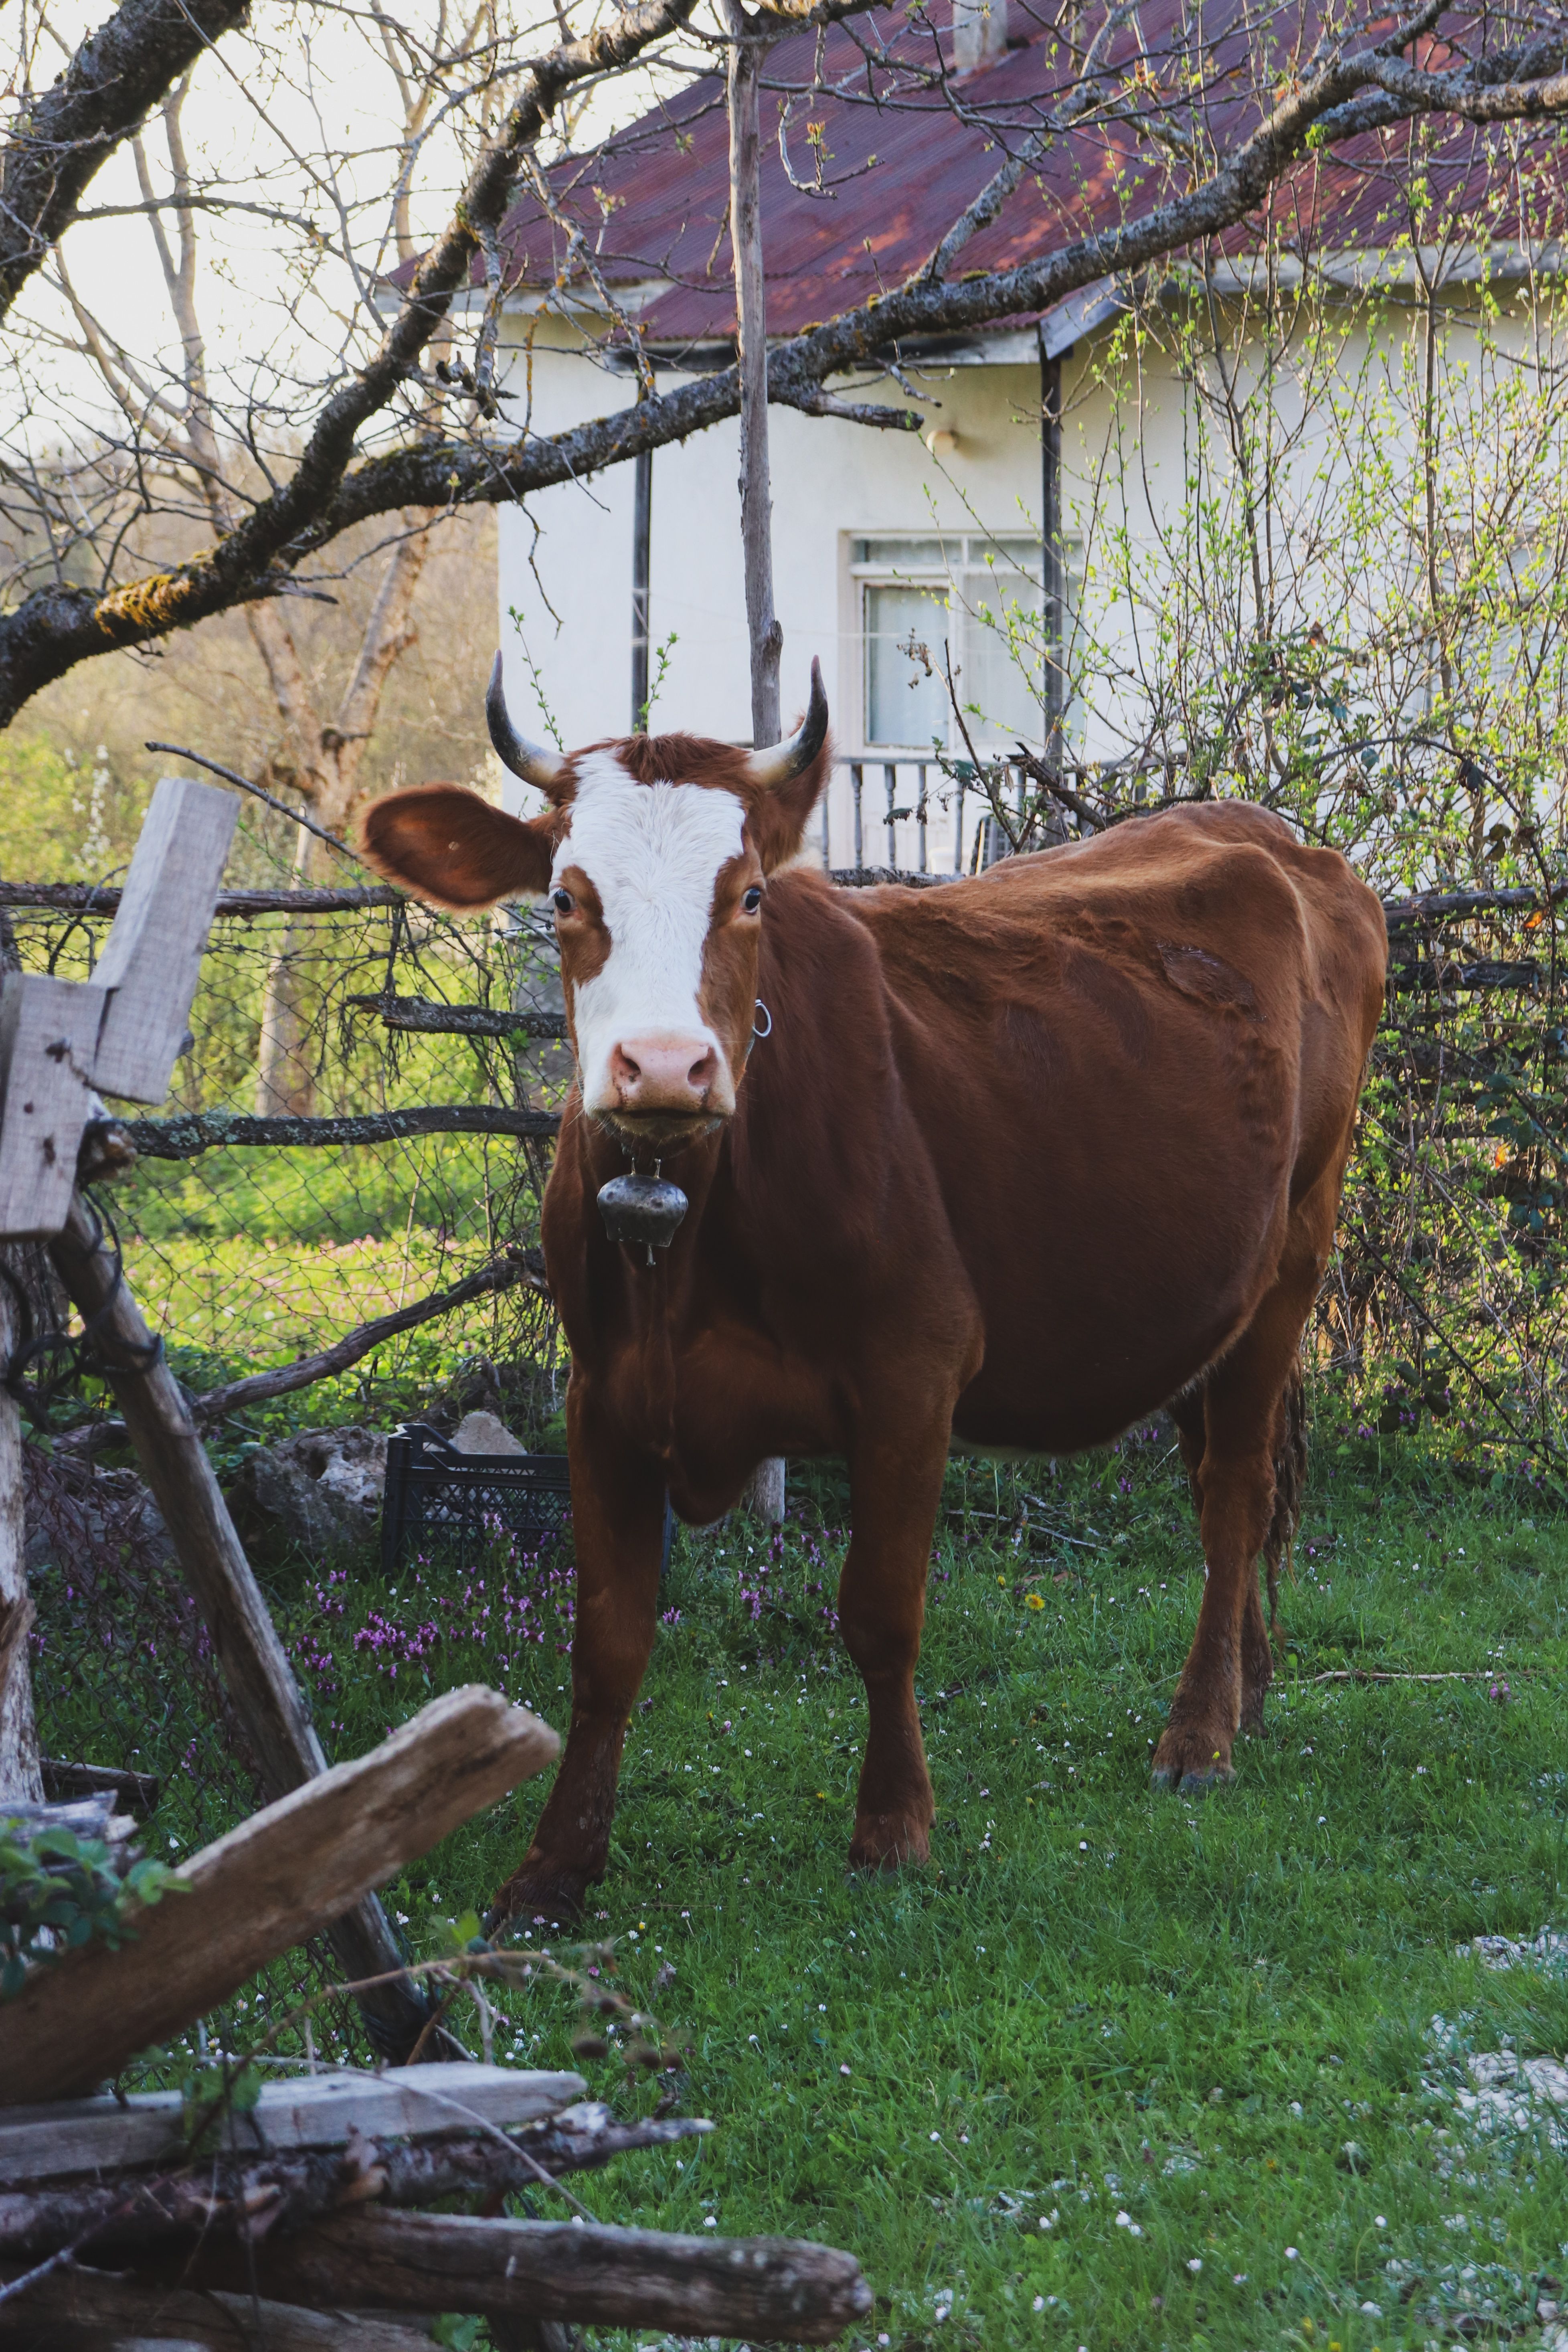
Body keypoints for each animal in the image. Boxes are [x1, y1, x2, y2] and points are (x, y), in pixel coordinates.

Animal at [362, 658, 1388, 1926]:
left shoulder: (910, 1375)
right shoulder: (600, 1396)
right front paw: (554, 1867)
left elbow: (880, 1612)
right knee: (1215, 1482)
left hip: (1293, 1251)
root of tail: (1266, 832)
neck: (688, 1231)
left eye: (749, 896)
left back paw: (1197, 1733)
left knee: (1235, 1491)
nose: (663, 1067)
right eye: (562, 897)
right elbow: (604, 1643)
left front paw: (893, 1828)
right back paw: (1245, 1685)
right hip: (1207, 1289)